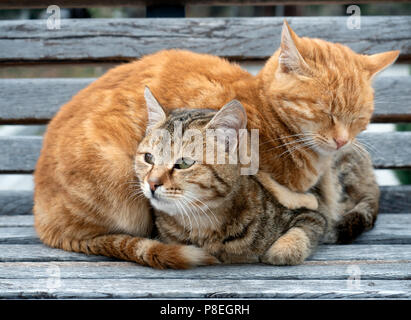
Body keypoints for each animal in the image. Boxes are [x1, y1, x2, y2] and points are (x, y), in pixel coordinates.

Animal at [34, 20, 396, 268]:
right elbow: (266, 181)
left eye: (358, 117)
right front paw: (302, 200)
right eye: (325, 112)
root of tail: (44, 223)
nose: (342, 140)